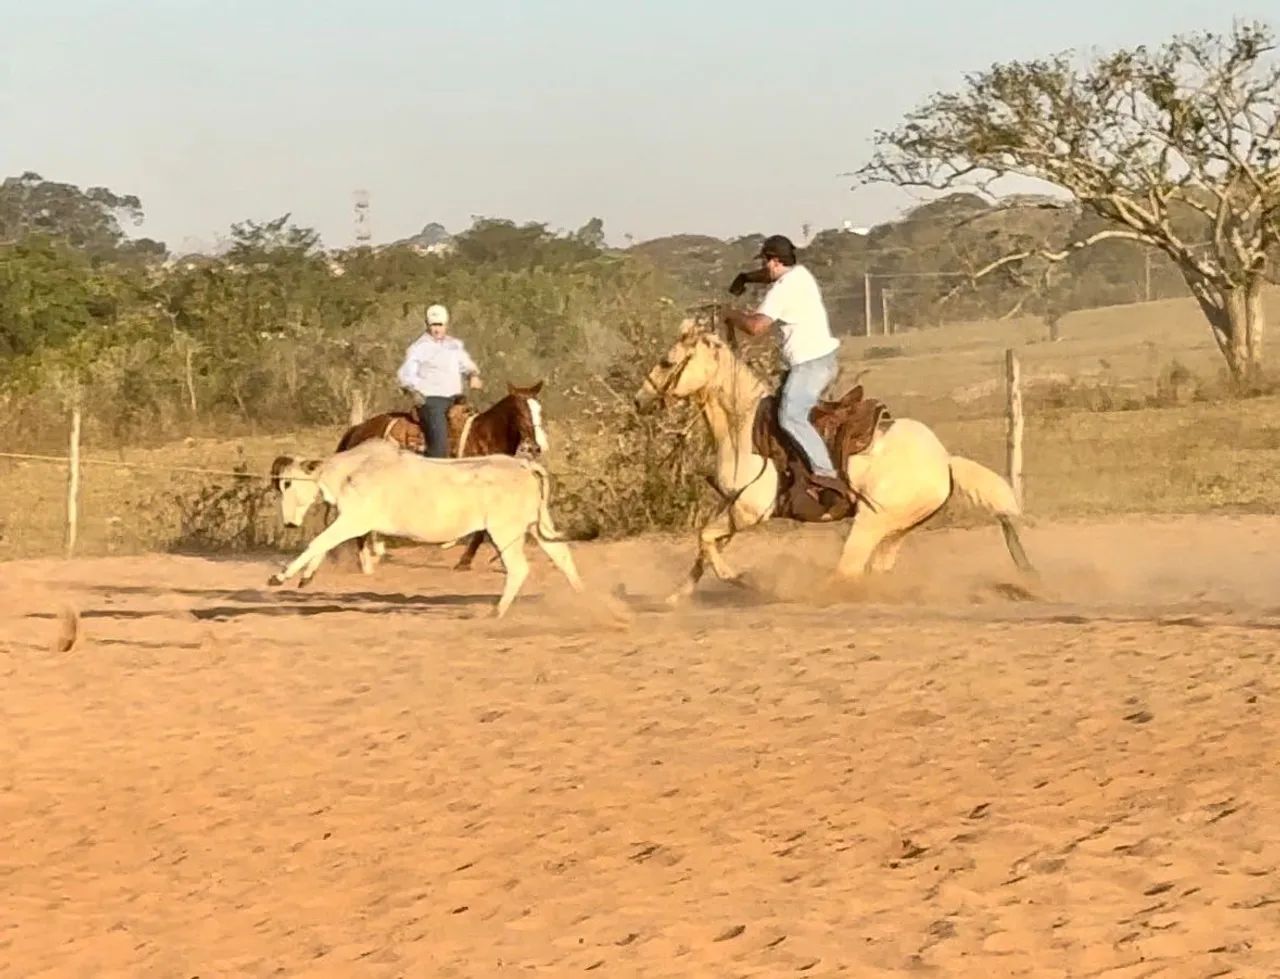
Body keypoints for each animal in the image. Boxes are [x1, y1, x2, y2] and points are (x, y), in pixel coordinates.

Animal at [332, 380, 549, 573]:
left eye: (540, 410)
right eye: (521, 411)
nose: (537, 447)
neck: (484, 439)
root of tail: (358, 429)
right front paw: (463, 561)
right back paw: (367, 561)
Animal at [632, 316, 1034, 605]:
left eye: (666, 362)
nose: (640, 400)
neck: (742, 426)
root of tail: (945, 461)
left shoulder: (750, 511)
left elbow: (705, 538)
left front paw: (741, 580)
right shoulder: (732, 506)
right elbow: (704, 548)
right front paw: (674, 598)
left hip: (870, 522)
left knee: (847, 571)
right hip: (897, 529)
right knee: (874, 569)